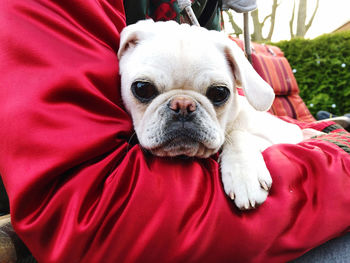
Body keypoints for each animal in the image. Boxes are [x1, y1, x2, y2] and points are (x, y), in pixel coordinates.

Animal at [117, 20, 314, 210]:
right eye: (142, 88)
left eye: (219, 93)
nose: (183, 104)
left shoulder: (268, 138)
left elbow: (237, 135)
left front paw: (244, 175)